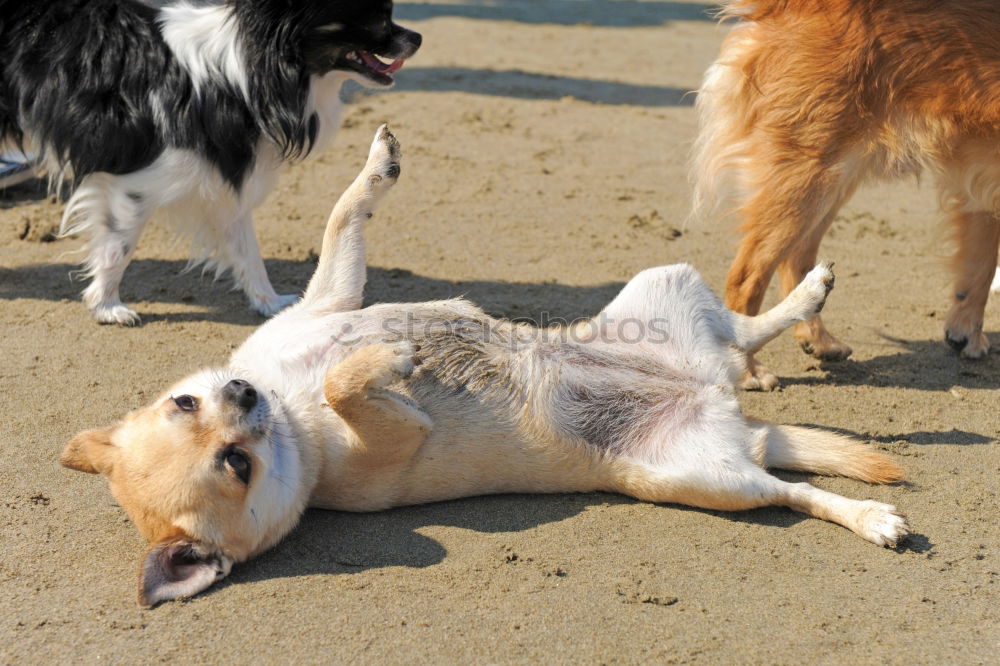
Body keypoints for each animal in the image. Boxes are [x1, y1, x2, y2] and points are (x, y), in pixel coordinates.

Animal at [0, 0, 420, 322]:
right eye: (378, 18)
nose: (417, 38)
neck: (243, 77)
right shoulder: (132, 184)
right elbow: (118, 248)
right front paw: (106, 306)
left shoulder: (225, 183)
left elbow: (247, 249)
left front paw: (269, 303)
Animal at [58, 126, 912, 608]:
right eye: (234, 465)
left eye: (184, 403)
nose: (241, 394)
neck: (293, 411)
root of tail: (731, 413)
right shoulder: (378, 436)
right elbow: (349, 378)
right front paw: (392, 355)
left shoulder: (327, 300)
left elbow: (344, 214)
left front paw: (379, 166)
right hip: (709, 481)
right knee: (794, 491)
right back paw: (871, 517)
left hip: (664, 287)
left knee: (741, 332)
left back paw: (808, 294)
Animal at [696, 0, 1000, 386]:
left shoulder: (982, 188)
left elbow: (979, 264)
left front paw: (965, 333)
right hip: (809, 173)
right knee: (746, 276)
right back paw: (746, 368)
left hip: (833, 177)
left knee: (799, 260)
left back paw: (818, 339)